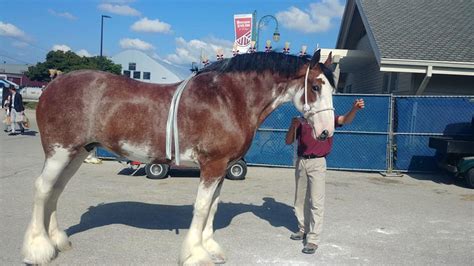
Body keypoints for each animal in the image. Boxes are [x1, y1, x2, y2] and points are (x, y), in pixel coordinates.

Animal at [21, 50, 334, 264]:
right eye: (316, 87)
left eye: (332, 87)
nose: (326, 132)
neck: (229, 99)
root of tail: (53, 84)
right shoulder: (212, 166)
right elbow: (201, 208)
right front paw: (196, 253)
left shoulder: (222, 168)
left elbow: (213, 207)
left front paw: (210, 248)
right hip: (59, 152)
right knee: (42, 189)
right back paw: (38, 249)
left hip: (76, 153)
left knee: (56, 191)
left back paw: (57, 241)